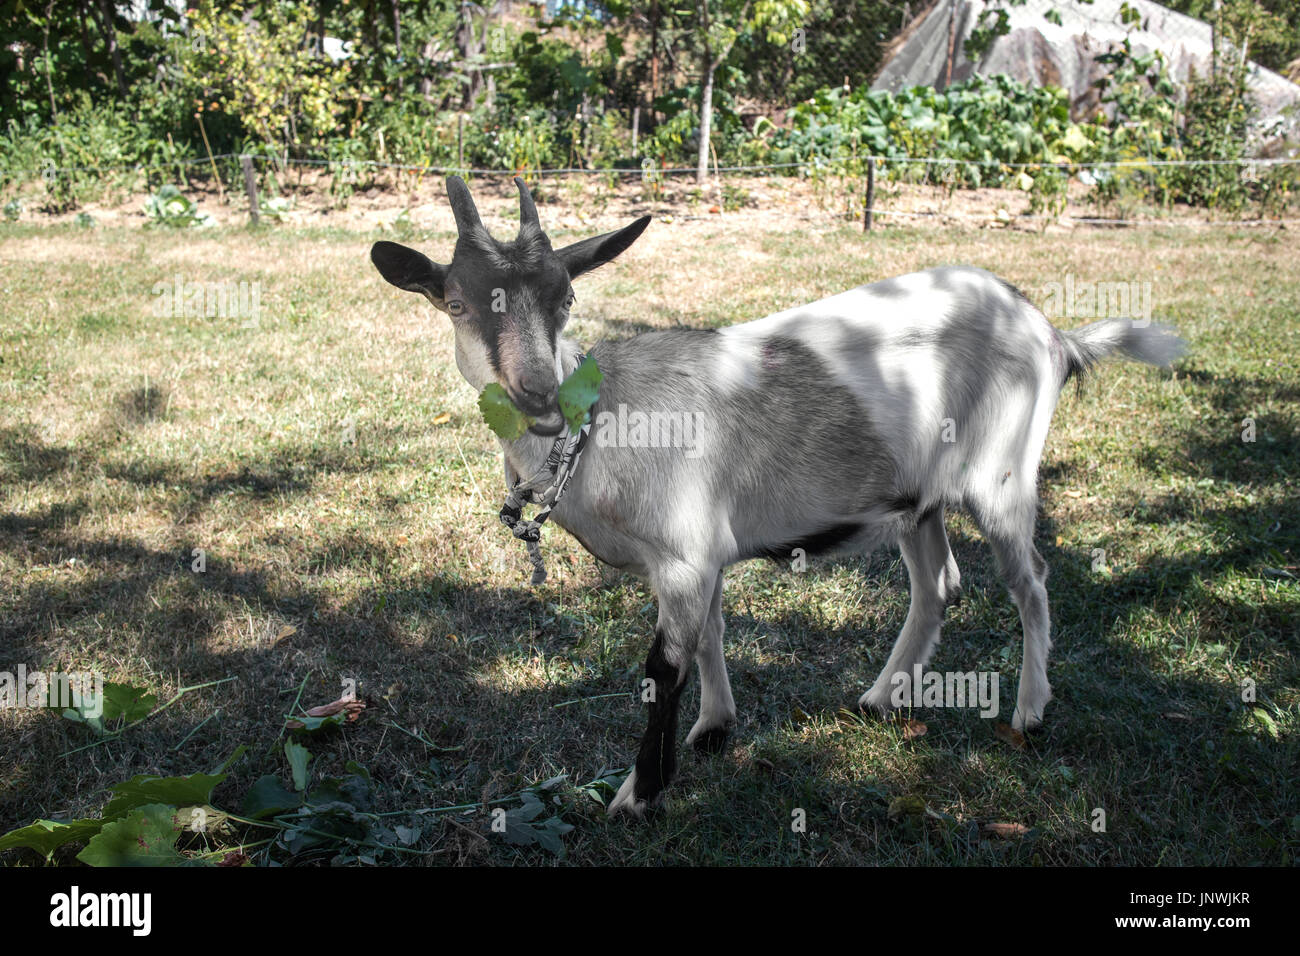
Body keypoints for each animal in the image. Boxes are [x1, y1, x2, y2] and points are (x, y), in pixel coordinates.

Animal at [369, 175, 1190, 816]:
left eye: (566, 296)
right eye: (456, 303)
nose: (539, 396)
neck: (604, 425)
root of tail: (1052, 333)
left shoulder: (684, 555)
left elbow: (662, 668)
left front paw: (638, 793)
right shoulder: (697, 558)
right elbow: (709, 635)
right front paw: (714, 731)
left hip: (1002, 476)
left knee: (1031, 583)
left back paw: (1028, 712)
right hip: (917, 496)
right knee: (938, 586)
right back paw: (879, 700)